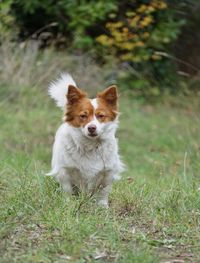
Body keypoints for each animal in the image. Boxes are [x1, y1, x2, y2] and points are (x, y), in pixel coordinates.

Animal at [47, 73, 124, 207]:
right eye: (83, 116)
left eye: (101, 116)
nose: (91, 128)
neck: (90, 145)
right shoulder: (64, 171)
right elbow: (68, 190)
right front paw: (68, 204)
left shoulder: (108, 172)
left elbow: (103, 192)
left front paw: (103, 207)